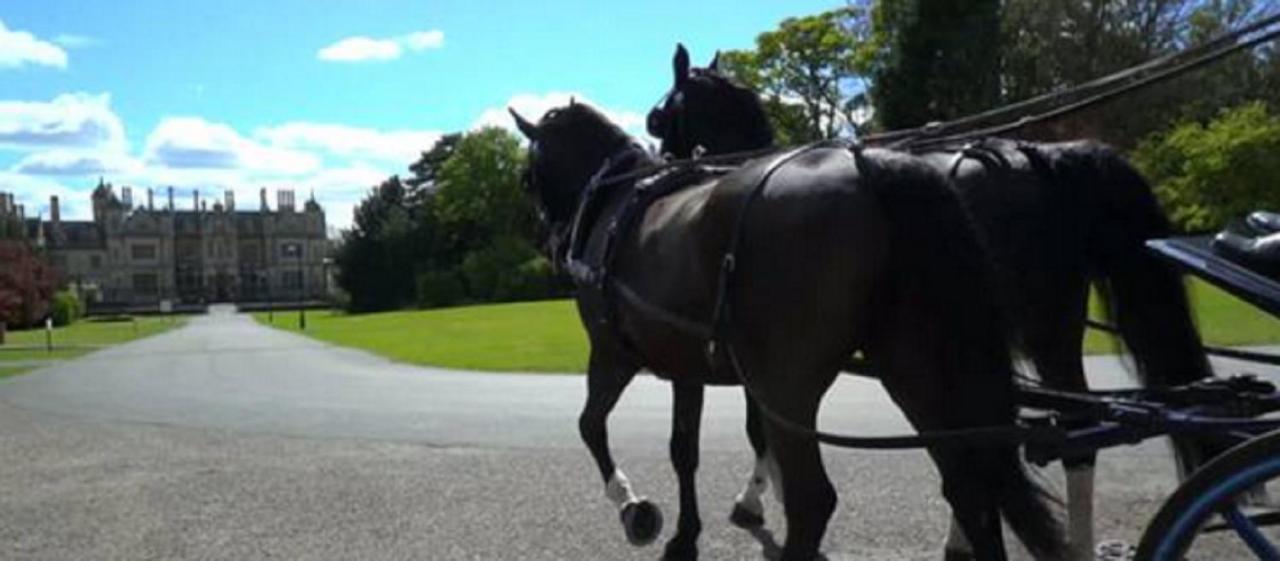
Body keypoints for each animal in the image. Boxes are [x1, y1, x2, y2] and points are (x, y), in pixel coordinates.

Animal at [509, 100, 1059, 561]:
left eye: (527, 178)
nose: (550, 242)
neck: (620, 200)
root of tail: (868, 167)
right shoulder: (686, 369)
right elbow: (683, 451)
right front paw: (686, 534)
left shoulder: (611, 355)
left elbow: (589, 426)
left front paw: (634, 509)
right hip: (916, 371)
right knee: (968, 484)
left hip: (787, 387)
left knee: (813, 500)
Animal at [650, 44, 1208, 561]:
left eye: (662, 113)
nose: (662, 163)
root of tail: (1041, 159)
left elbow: (759, 428)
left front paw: (756, 499)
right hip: (1038, 329)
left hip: (1026, 329)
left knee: (1057, 438)